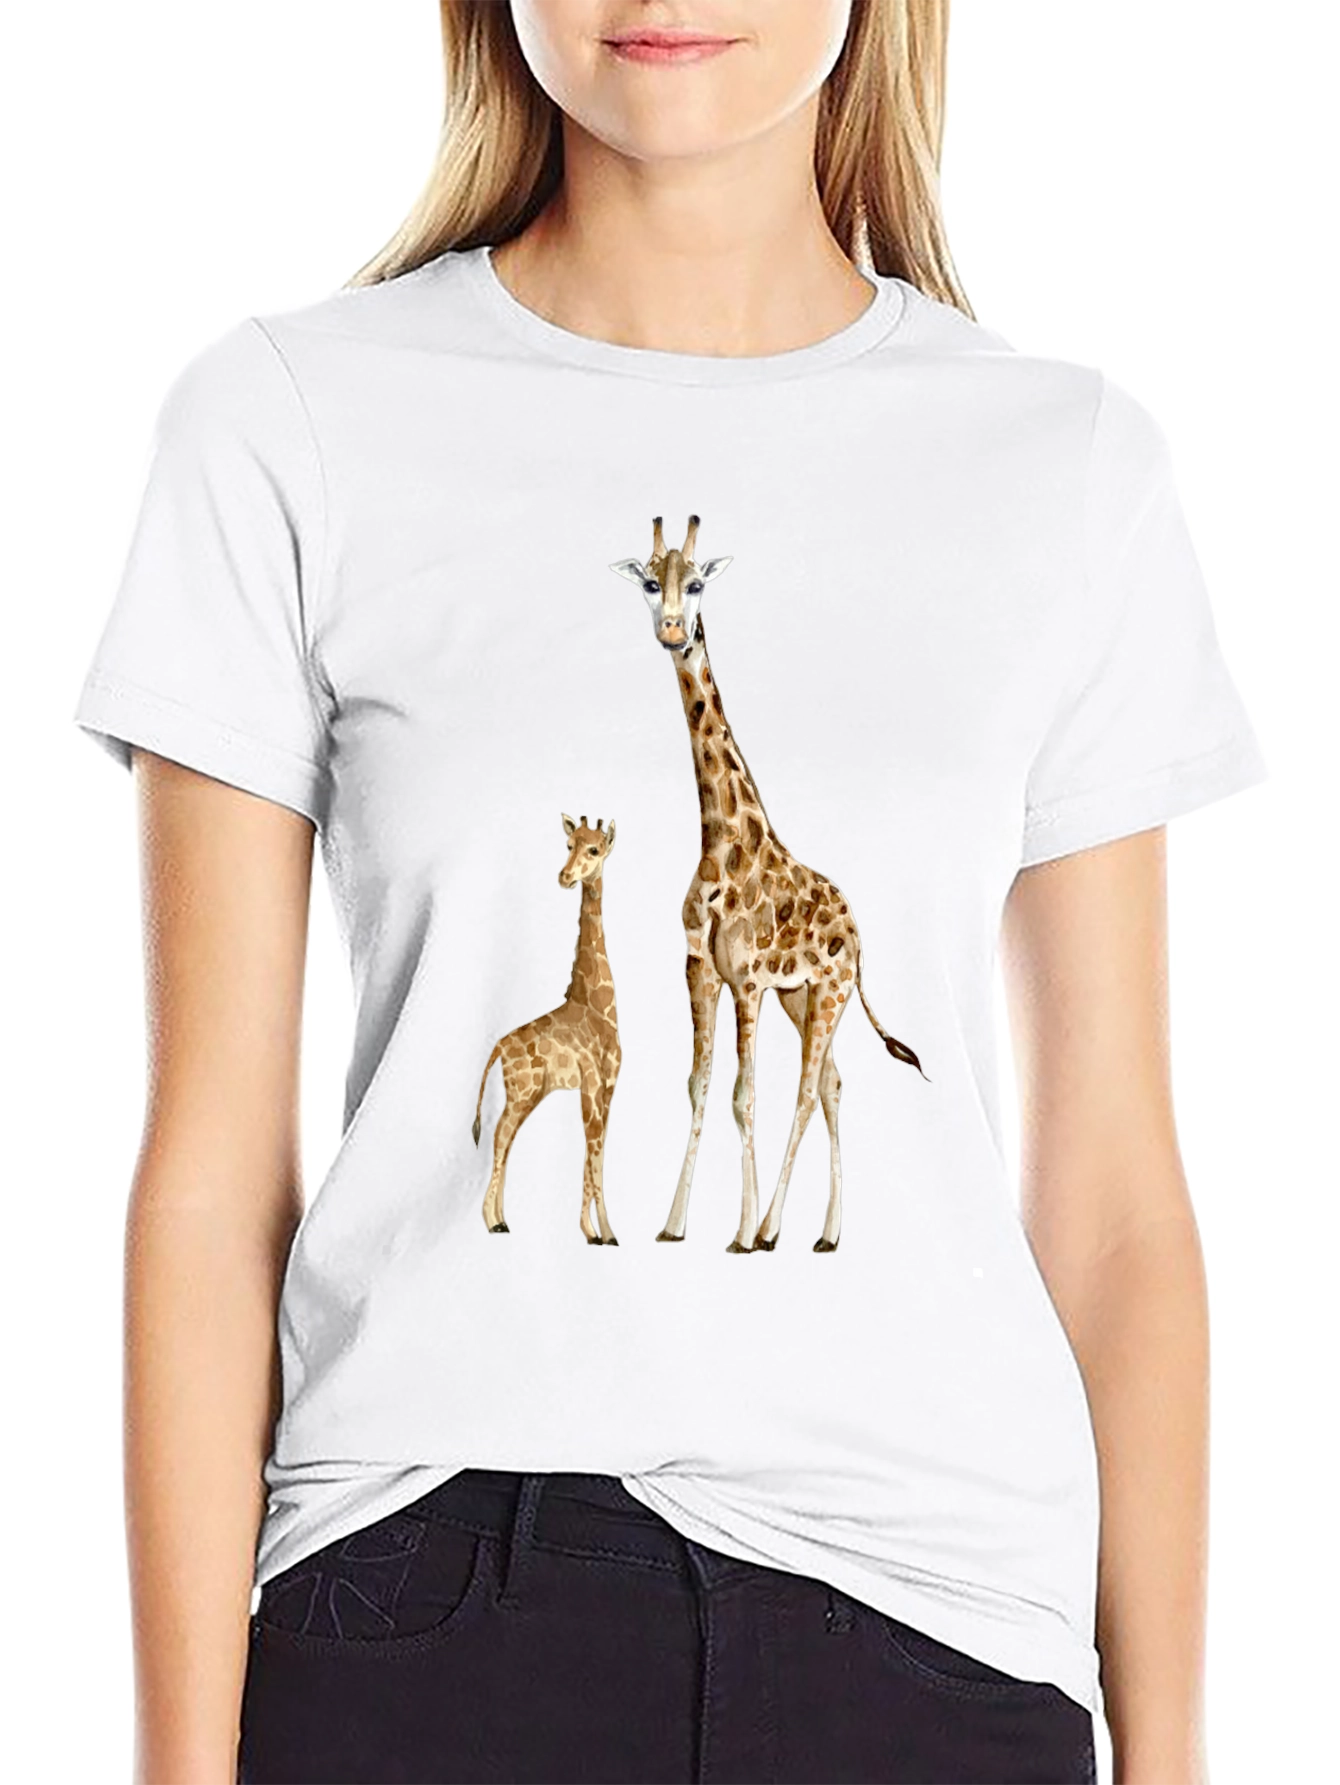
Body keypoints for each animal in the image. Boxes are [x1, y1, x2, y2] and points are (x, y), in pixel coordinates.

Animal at [472, 814, 622, 1244]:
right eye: (568, 845)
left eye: (594, 849)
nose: (564, 877)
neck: (597, 1005)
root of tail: (497, 1047)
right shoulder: (591, 1084)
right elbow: (593, 1149)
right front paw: (605, 1232)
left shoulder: (607, 1087)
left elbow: (596, 1151)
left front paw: (593, 1232)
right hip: (523, 1091)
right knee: (500, 1135)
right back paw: (494, 1221)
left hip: (531, 1093)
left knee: (505, 1138)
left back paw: (501, 1219)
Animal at [610, 515, 926, 1253]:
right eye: (649, 582)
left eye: (698, 582)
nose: (674, 629)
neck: (721, 842)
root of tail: (859, 929)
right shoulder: (702, 969)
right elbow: (699, 1085)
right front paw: (674, 1224)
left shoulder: (747, 977)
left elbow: (744, 1094)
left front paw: (740, 1228)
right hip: (802, 998)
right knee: (834, 1082)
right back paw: (825, 1233)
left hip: (829, 992)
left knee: (811, 1089)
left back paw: (773, 1227)